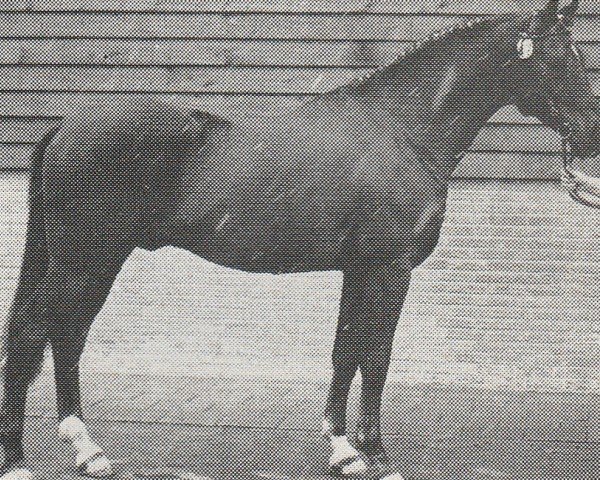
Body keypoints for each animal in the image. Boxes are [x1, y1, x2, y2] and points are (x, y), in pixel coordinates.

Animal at [1, 0, 600, 480]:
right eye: (555, 60)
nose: (591, 135)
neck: (405, 129)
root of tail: (65, 125)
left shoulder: (359, 267)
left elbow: (346, 353)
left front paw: (343, 450)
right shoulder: (390, 268)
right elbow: (376, 358)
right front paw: (377, 458)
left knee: (45, 337)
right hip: (87, 259)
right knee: (47, 336)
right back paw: (67, 455)